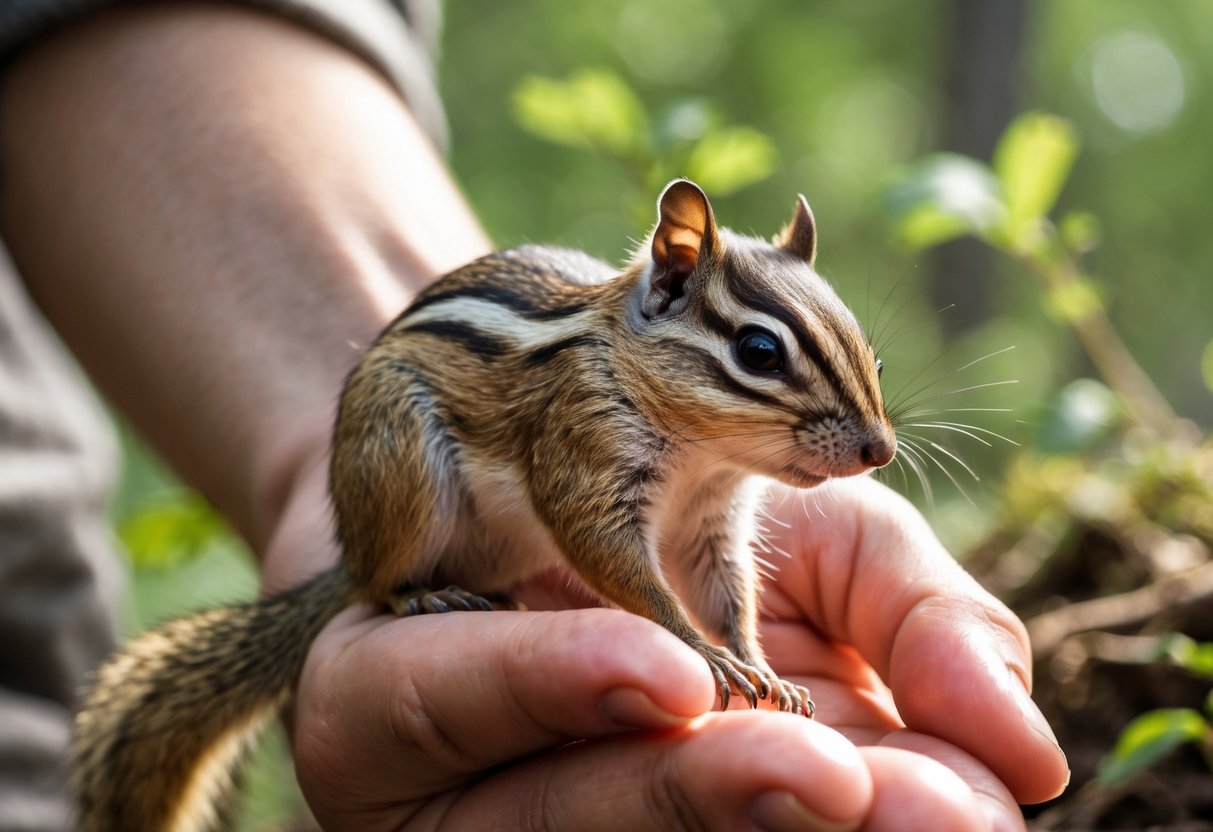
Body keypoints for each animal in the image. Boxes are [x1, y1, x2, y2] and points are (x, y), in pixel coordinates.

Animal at [72, 179, 896, 832]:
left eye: (873, 357)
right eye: (759, 352)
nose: (879, 451)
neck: (702, 455)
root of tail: (352, 547)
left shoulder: (710, 518)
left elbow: (727, 590)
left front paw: (760, 664)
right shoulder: (581, 457)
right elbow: (620, 566)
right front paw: (701, 650)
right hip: (401, 472)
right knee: (375, 587)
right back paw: (425, 596)